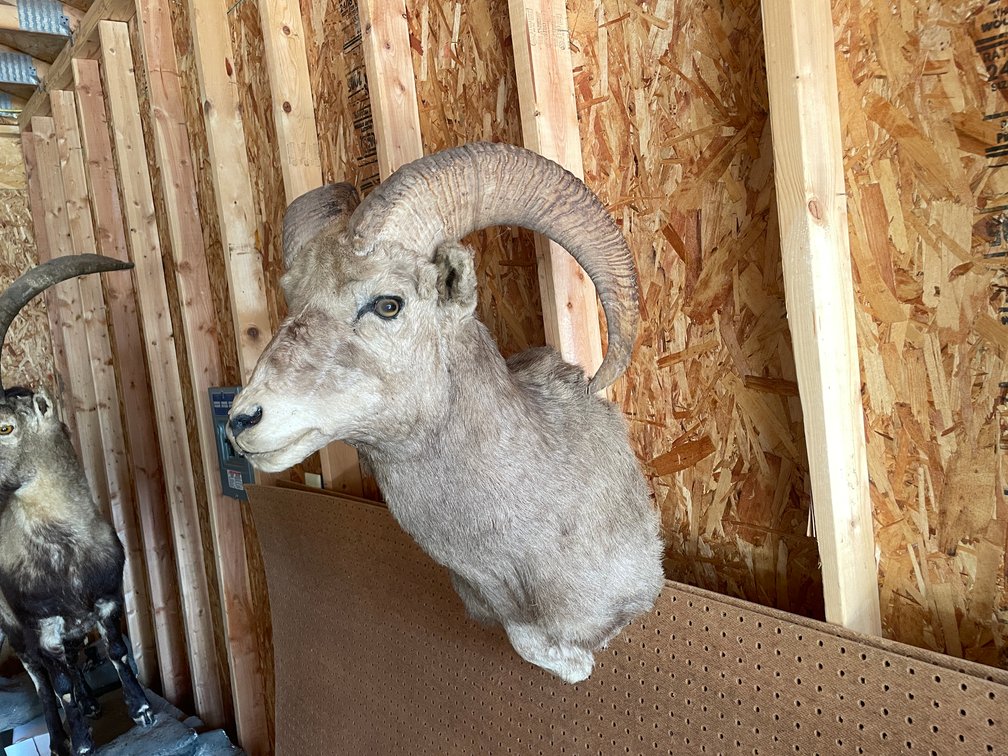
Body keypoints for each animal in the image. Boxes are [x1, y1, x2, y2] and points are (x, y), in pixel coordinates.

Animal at [0, 255, 154, 756]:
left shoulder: (107, 598)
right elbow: (59, 681)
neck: (66, 557)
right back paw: (58, 734)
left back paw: (88, 706)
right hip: (14, 631)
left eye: (5, 426)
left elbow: (117, 650)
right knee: (42, 680)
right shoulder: (39, 624)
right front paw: (82, 744)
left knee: (72, 657)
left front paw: (142, 711)